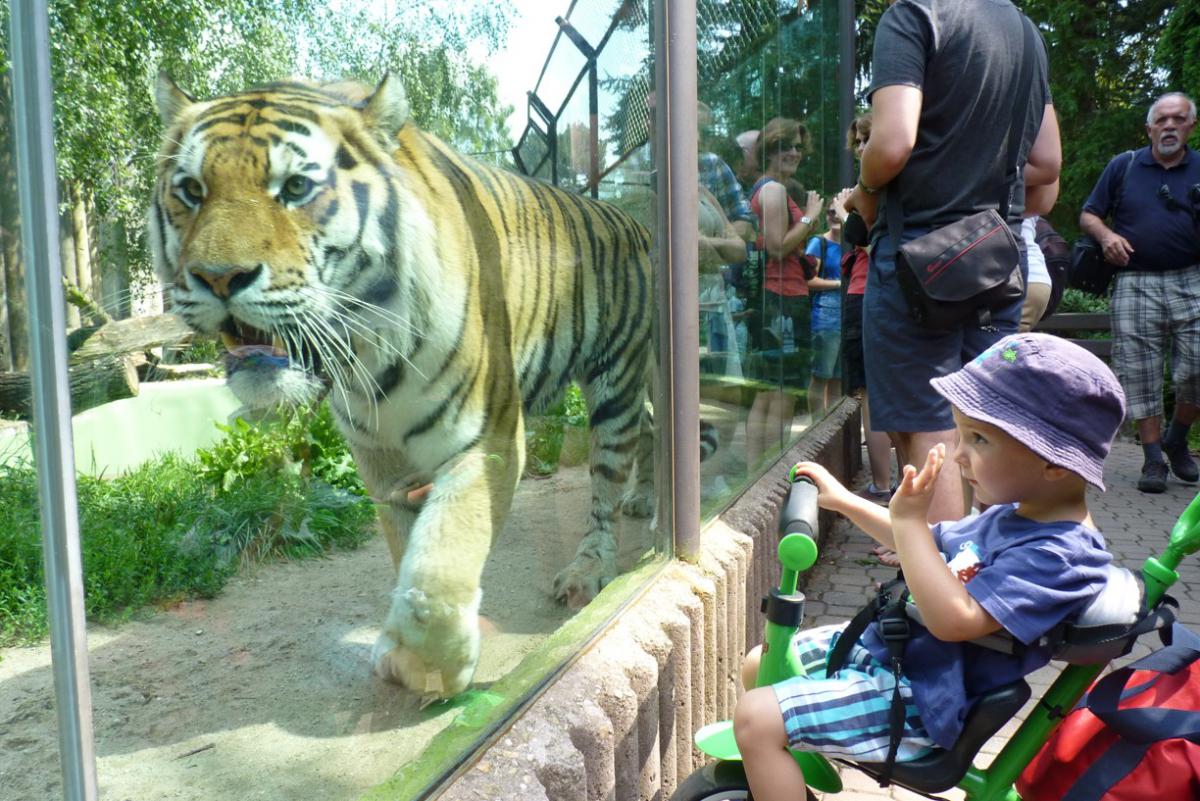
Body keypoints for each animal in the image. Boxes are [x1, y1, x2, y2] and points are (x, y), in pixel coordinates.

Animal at [148, 73, 682, 697]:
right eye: (191, 189)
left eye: (297, 187)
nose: (217, 277)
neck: (365, 355)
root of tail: (637, 222)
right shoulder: (384, 464)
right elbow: (410, 551)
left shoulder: (487, 438)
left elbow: (444, 551)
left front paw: (429, 662)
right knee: (648, 431)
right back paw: (643, 498)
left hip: (616, 377)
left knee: (606, 476)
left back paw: (590, 567)